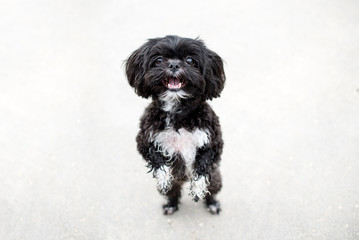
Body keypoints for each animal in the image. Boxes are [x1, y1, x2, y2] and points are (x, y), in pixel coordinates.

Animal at [126, 34, 225, 215]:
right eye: (159, 59)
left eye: (190, 60)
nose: (173, 64)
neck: (178, 113)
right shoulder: (144, 140)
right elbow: (157, 159)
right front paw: (164, 178)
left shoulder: (214, 142)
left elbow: (203, 164)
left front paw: (198, 187)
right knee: (172, 193)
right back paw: (170, 205)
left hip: (215, 178)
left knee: (211, 191)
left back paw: (212, 204)